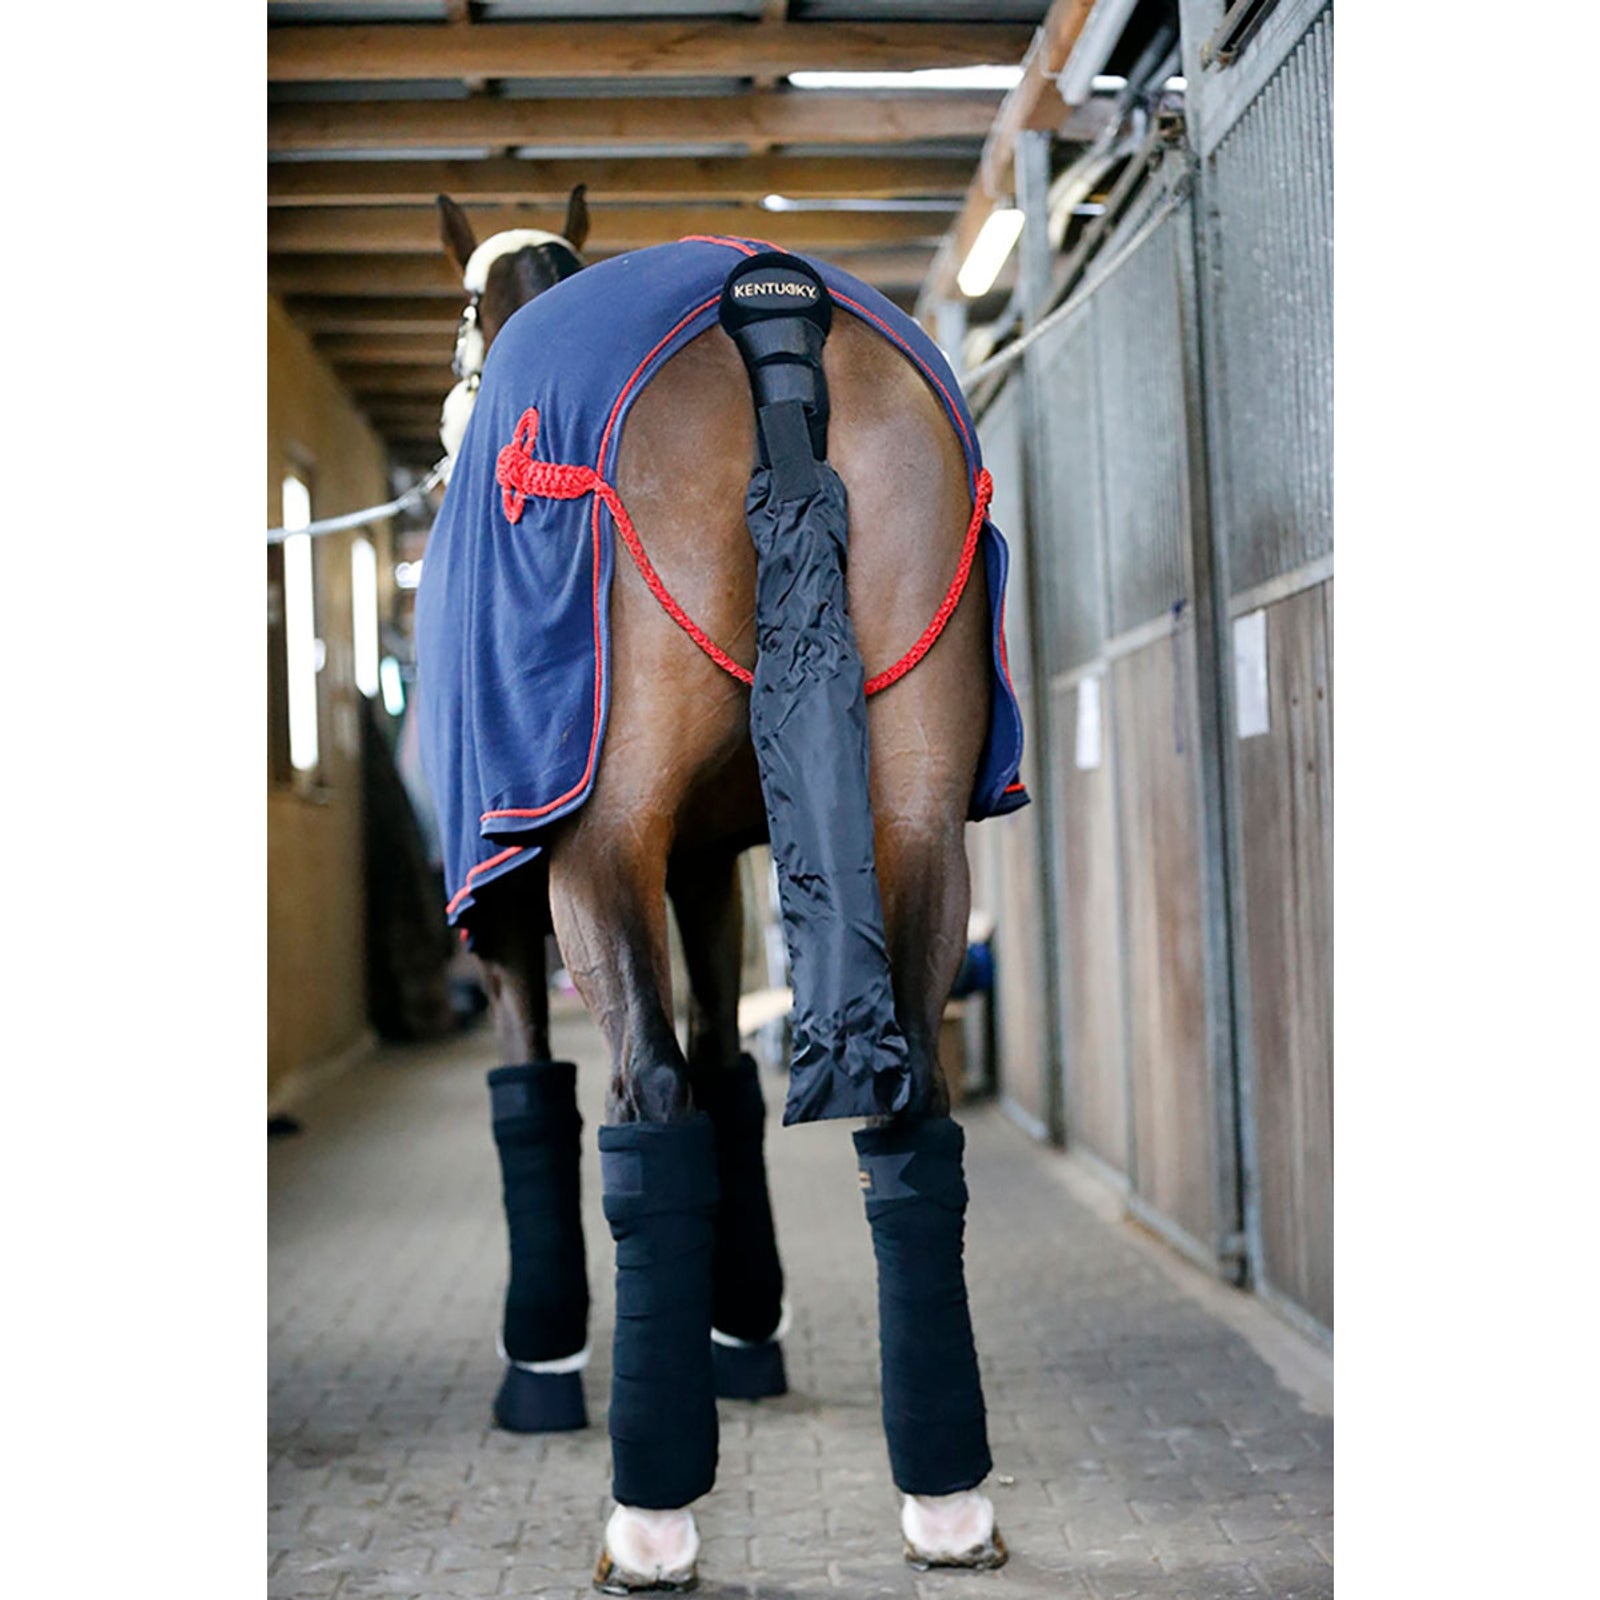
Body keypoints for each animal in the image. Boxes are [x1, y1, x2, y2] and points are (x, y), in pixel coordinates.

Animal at [417, 186, 1021, 1591]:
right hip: (916, 817)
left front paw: (547, 1354)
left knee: (642, 1094)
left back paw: (648, 1513)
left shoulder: (520, 903)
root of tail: (773, 311)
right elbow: (729, 1063)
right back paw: (945, 1497)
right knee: (907, 1102)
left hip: (596, 847)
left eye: (463, 314)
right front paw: (742, 1329)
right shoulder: (709, 865)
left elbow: (543, 1092)